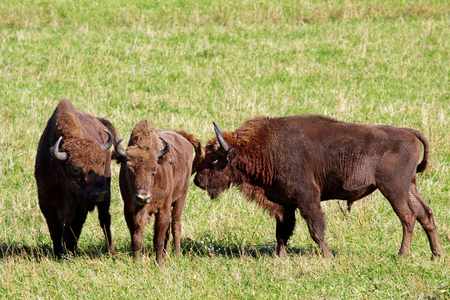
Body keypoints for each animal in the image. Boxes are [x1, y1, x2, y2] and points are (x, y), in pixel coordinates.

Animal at [34, 99, 118, 258]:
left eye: (102, 162)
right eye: (75, 168)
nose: (99, 193)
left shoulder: (80, 206)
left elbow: (72, 230)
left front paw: (69, 253)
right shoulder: (46, 203)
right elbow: (55, 230)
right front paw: (59, 254)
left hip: (107, 196)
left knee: (105, 218)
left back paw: (110, 251)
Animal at [114, 119, 204, 262]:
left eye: (154, 169)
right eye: (129, 169)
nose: (143, 197)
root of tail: (182, 137)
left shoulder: (163, 209)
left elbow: (158, 240)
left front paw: (159, 263)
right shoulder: (129, 210)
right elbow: (136, 239)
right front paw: (136, 262)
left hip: (181, 197)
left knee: (175, 225)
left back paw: (176, 254)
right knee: (169, 229)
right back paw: (166, 254)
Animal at [193, 114, 442, 258]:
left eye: (214, 158)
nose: (198, 180)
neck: (264, 148)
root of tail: (408, 132)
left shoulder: (307, 197)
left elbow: (315, 228)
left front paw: (328, 256)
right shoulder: (285, 204)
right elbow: (282, 232)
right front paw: (279, 257)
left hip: (393, 189)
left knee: (408, 217)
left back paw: (402, 255)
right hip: (409, 188)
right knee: (425, 214)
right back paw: (436, 254)